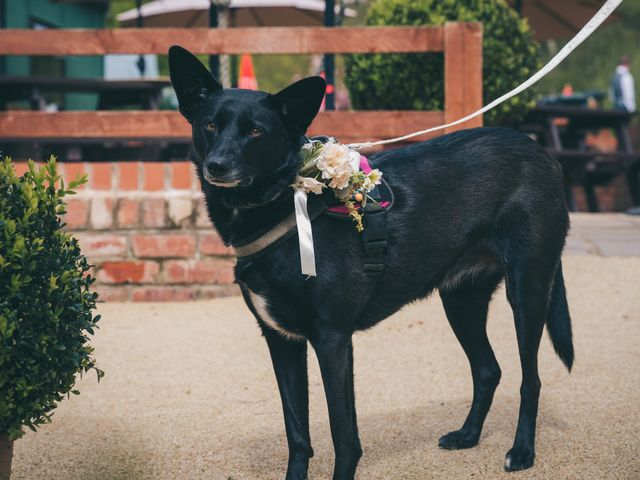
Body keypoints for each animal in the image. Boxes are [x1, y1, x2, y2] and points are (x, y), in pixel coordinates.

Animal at [168, 46, 572, 480]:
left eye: (255, 132)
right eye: (210, 124)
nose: (218, 165)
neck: (285, 207)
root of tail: (538, 151)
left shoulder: (332, 339)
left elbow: (344, 434)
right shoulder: (281, 340)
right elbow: (297, 433)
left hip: (528, 290)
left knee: (531, 379)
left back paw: (522, 451)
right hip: (461, 300)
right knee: (487, 370)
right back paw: (468, 435)